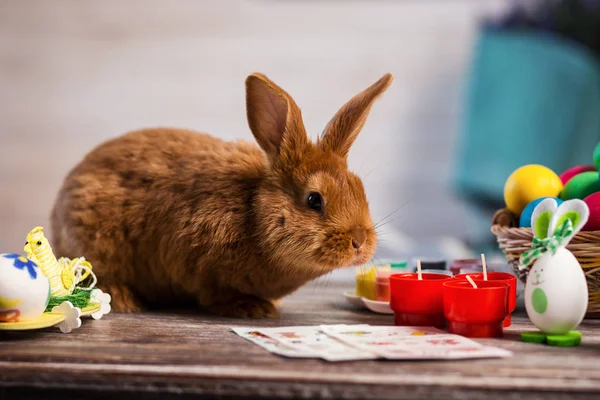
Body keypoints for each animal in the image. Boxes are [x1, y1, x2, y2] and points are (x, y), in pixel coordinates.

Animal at [49, 72, 392, 318]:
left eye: (359, 188)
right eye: (314, 200)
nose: (360, 242)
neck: (253, 213)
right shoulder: (198, 264)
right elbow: (215, 293)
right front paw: (253, 308)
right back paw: (123, 299)